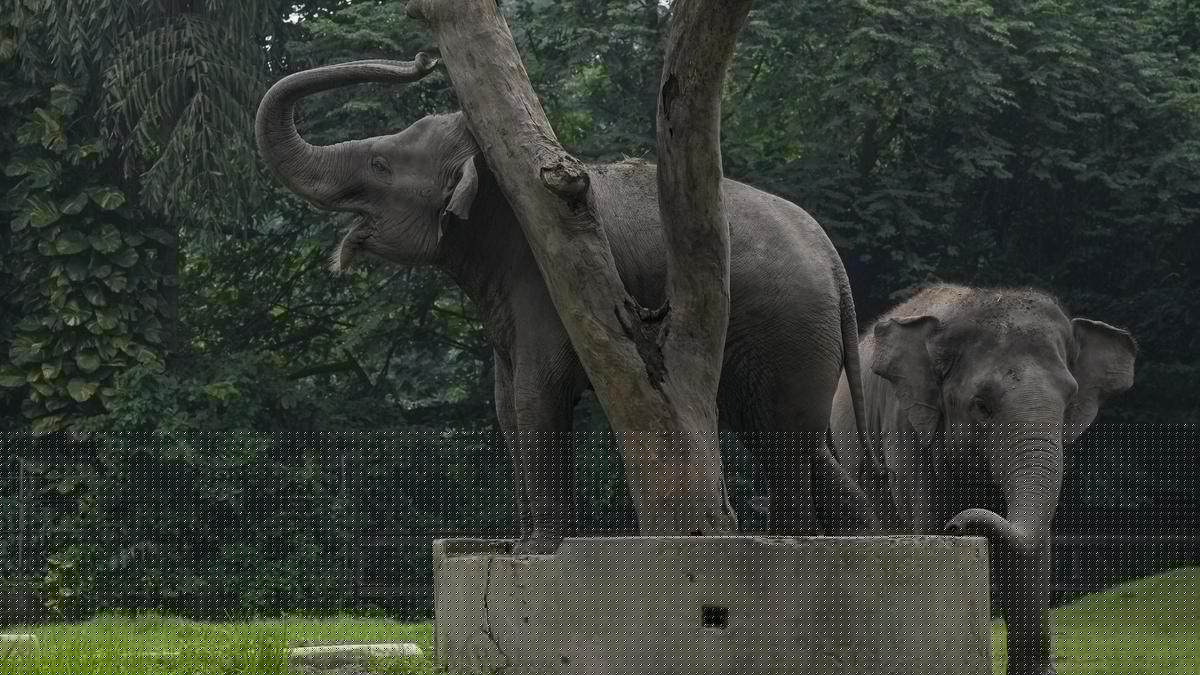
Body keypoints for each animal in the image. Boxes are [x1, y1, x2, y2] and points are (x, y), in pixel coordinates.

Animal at [255, 56, 880, 554]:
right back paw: (861, 539)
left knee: (785, 439)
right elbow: (506, 403)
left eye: (382, 166)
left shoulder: (545, 278)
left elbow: (537, 391)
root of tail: (833, 260)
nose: (421, 60)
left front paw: (538, 551)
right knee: (784, 437)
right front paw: (518, 545)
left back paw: (790, 543)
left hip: (787, 326)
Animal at [830, 284, 1137, 675]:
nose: (958, 525)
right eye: (981, 406)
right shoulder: (906, 427)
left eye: (1070, 401)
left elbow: (1032, 547)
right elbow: (929, 518)